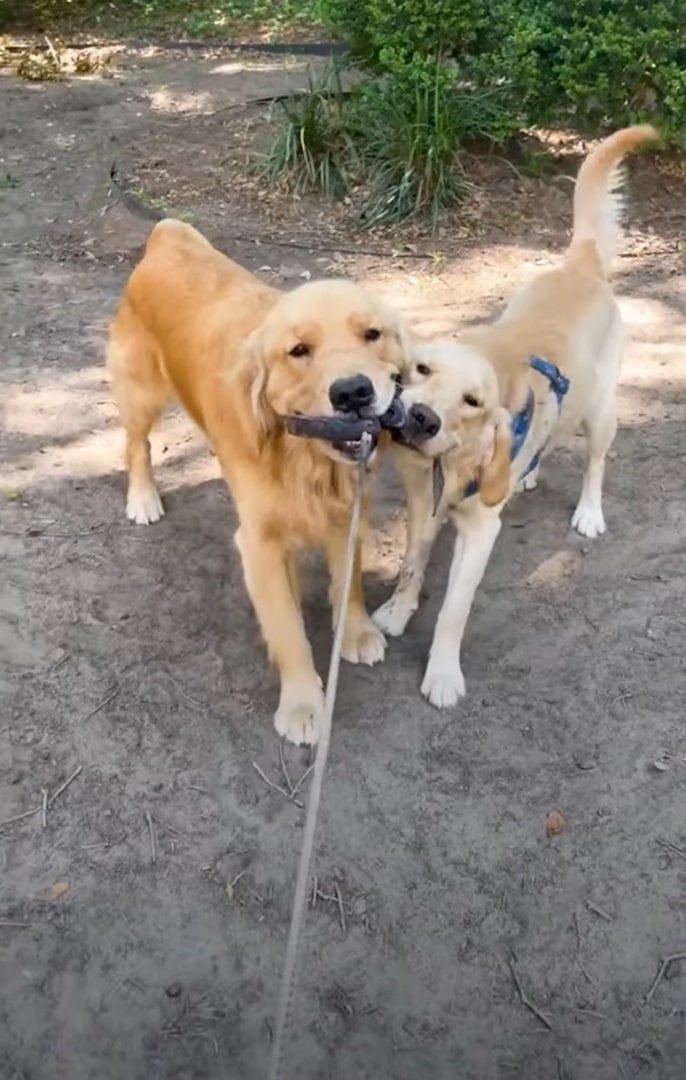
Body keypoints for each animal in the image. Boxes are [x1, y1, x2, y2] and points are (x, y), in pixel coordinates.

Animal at [106, 218, 419, 743]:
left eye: (372, 334)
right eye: (298, 351)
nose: (353, 392)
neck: (305, 460)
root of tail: (168, 234)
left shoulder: (348, 516)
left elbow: (349, 582)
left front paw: (355, 632)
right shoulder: (260, 545)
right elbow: (289, 630)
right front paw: (302, 705)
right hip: (141, 392)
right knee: (136, 444)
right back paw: (143, 498)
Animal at [375, 124, 661, 708]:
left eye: (473, 402)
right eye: (422, 369)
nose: (420, 419)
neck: (454, 464)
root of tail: (581, 261)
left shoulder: (481, 530)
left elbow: (454, 611)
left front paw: (443, 673)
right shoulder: (422, 504)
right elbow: (411, 565)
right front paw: (396, 610)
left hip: (601, 410)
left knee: (596, 463)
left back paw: (589, 512)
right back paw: (527, 473)